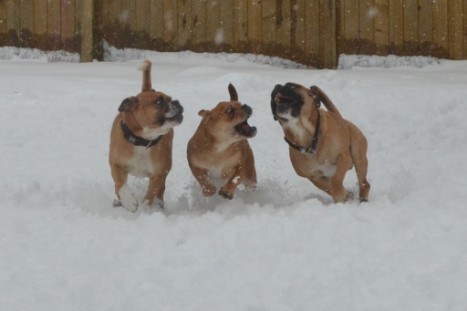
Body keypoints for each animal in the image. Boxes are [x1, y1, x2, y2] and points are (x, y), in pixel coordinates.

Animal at [109, 60, 184, 213]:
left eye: (170, 99)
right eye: (158, 102)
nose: (177, 102)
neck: (142, 141)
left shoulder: (158, 174)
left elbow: (150, 195)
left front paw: (144, 210)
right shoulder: (116, 165)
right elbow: (120, 184)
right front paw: (129, 202)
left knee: (161, 190)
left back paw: (159, 205)